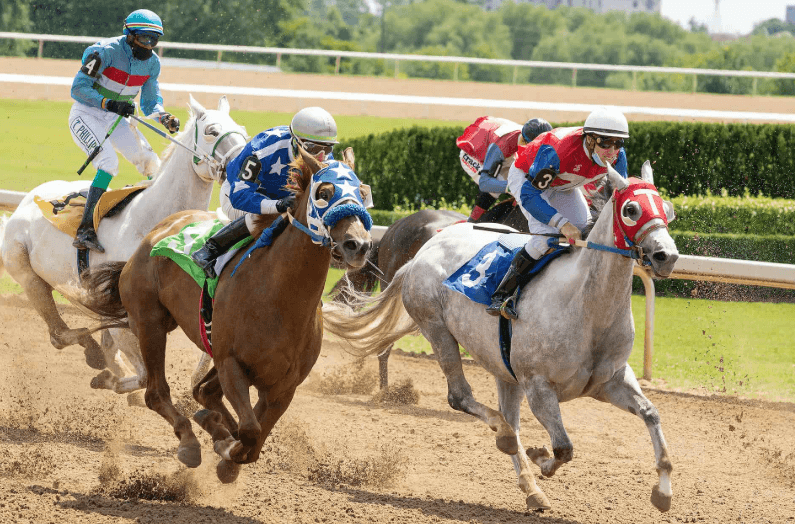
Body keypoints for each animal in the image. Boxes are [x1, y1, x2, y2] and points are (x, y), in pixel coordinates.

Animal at [0, 95, 248, 396]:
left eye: (242, 129)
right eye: (212, 130)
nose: (249, 164)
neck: (155, 221)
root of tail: (27, 201)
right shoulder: (129, 315)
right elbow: (142, 375)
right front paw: (116, 384)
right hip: (27, 273)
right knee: (60, 334)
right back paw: (92, 353)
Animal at [76, 148, 372, 482]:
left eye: (362, 194)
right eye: (324, 193)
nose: (358, 245)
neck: (279, 298)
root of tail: (158, 230)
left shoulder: (284, 386)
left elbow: (254, 439)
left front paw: (225, 446)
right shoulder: (231, 363)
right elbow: (250, 430)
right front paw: (224, 444)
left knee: (203, 392)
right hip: (150, 323)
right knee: (156, 393)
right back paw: (189, 442)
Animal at [321, 161, 679, 512]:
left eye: (667, 209)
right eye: (631, 209)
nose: (667, 256)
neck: (587, 307)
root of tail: (420, 255)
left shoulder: (610, 381)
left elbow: (651, 413)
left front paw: (663, 491)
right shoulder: (538, 386)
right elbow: (563, 447)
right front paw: (540, 457)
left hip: (503, 367)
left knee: (509, 419)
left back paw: (531, 489)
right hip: (436, 328)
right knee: (465, 400)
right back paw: (500, 437)